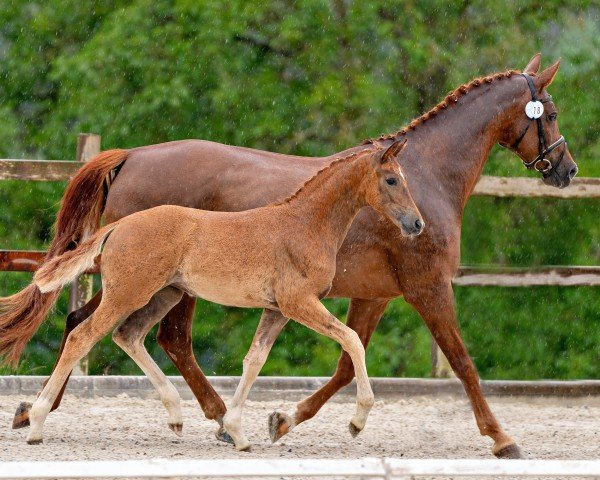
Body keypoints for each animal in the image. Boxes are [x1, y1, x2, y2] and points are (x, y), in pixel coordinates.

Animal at [1, 141, 422, 448]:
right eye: (391, 180)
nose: (417, 224)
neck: (304, 224)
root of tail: (120, 225)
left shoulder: (278, 309)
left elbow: (254, 359)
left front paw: (237, 431)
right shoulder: (299, 303)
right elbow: (352, 340)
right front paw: (358, 420)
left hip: (164, 295)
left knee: (128, 336)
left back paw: (175, 416)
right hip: (128, 294)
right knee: (83, 335)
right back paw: (36, 422)